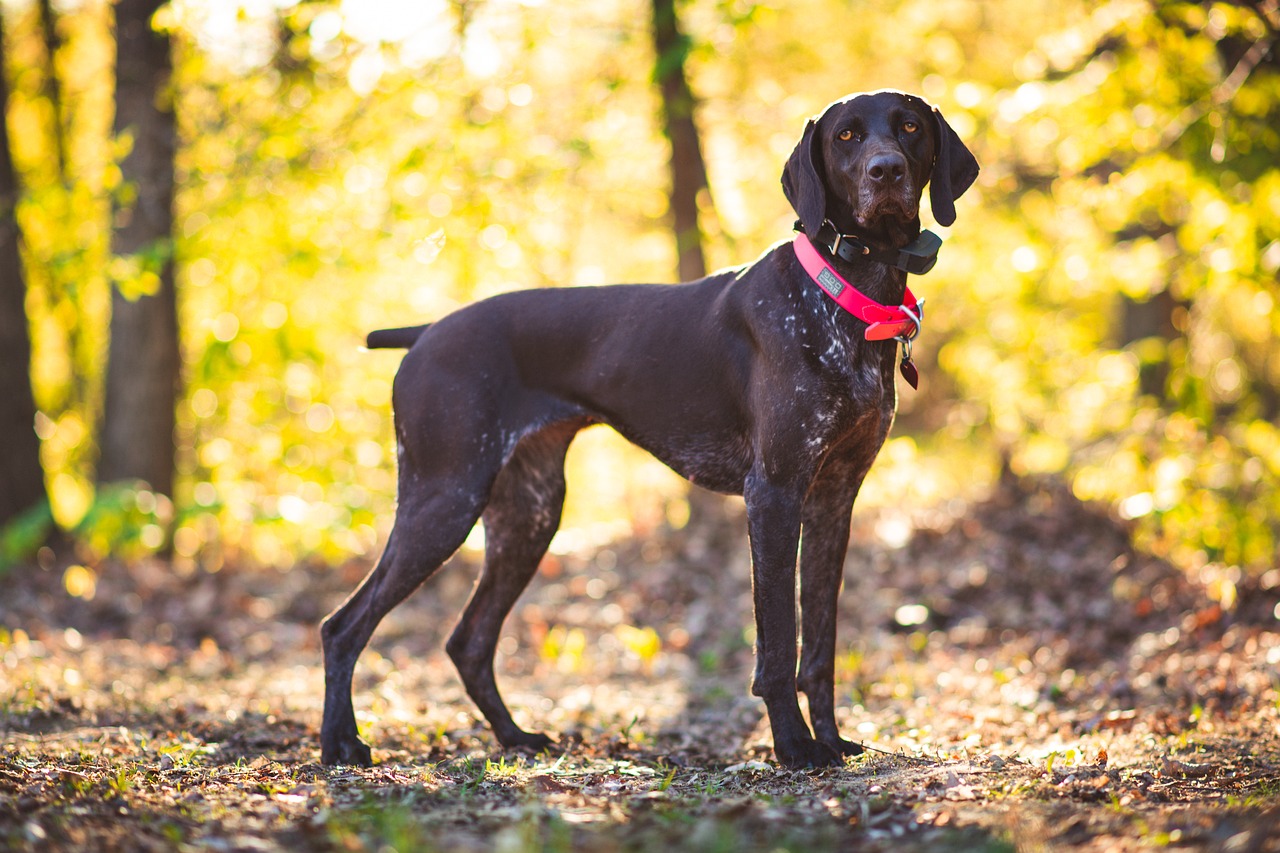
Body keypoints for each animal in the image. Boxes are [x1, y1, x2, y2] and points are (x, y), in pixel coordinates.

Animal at [322, 89, 977, 768]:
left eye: (909, 127)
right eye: (846, 136)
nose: (886, 171)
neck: (849, 293)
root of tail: (425, 333)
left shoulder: (833, 500)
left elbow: (819, 645)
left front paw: (831, 739)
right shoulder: (773, 494)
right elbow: (777, 644)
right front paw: (795, 747)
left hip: (527, 515)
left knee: (468, 640)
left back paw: (515, 737)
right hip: (444, 498)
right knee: (343, 625)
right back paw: (340, 741)